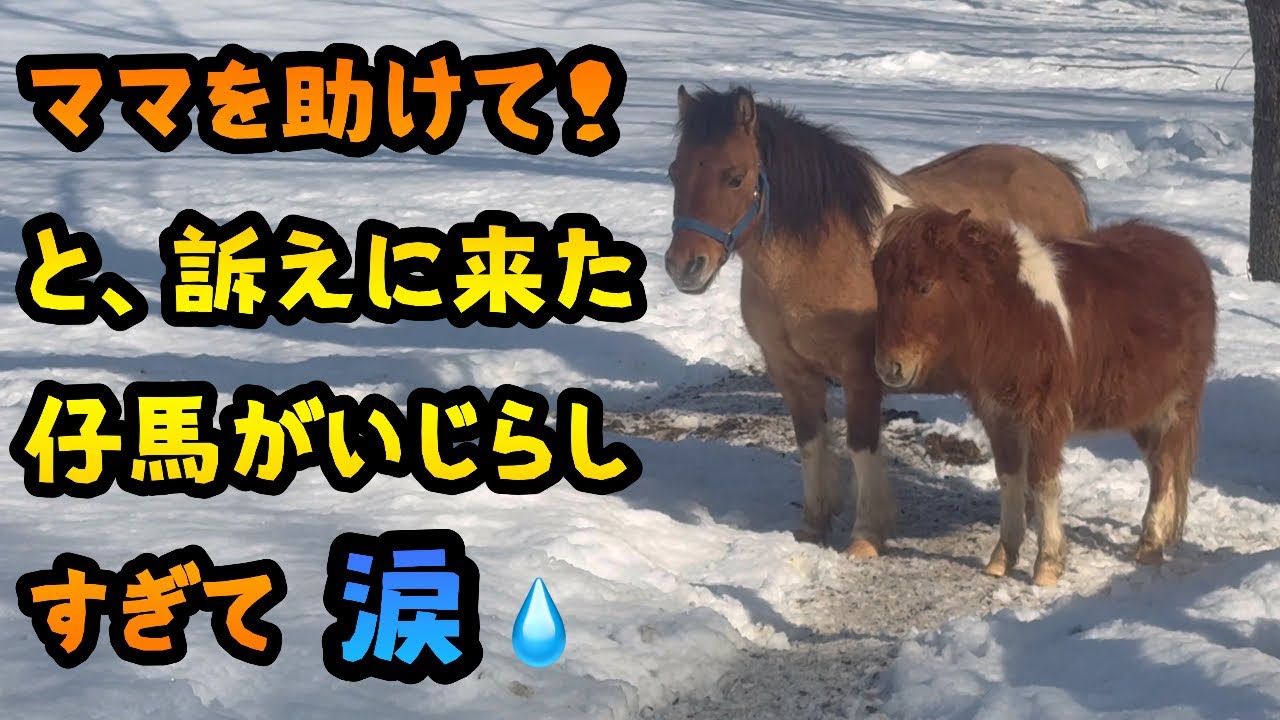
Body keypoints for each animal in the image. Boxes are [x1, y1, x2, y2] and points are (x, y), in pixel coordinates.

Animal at [663, 84, 1092, 558]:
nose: (684, 266)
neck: (819, 255)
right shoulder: (790, 372)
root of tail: (1054, 171)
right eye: (674, 172)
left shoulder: (862, 373)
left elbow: (861, 445)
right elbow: (811, 443)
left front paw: (866, 536)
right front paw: (813, 526)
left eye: (735, 177)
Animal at [872, 206, 1216, 586]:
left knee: (1165, 468)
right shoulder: (999, 415)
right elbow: (1009, 477)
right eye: (879, 284)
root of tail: (1190, 254)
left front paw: (1047, 565)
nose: (890, 367)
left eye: (924, 286)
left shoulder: (1045, 415)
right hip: (1142, 411)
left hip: (1174, 406)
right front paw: (1002, 558)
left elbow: (1042, 481)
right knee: (1158, 466)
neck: (1017, 313)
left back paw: (1150, 545)